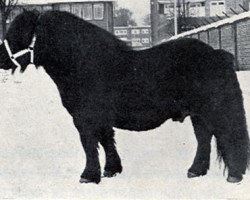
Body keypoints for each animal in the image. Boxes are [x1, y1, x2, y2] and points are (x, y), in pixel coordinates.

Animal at [0, 10, 249, 184]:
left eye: (18, 33)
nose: (1, 59)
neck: (83, 63)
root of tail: (217, 54)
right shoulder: (100, 119)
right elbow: (106, 141)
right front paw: (111, 170)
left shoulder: (85, 118)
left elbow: (89, 144)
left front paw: (89, 176)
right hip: (198, 114)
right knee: (204, 138)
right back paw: (195, 171)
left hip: (215, 109)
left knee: (228, 135)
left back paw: (234, 175)